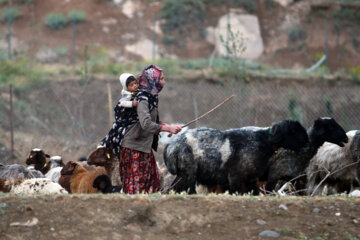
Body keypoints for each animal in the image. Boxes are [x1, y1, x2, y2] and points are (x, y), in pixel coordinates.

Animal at [165, 119, 308, 194]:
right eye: (294, 131)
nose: (307, 143)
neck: (262, 141)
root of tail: (172, 145)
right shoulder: (235, 177)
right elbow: (238, 192)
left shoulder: (250, 178)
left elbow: (254, 193)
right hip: (189, 172)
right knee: (188, 189)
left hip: (182, 174)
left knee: (171, 189)